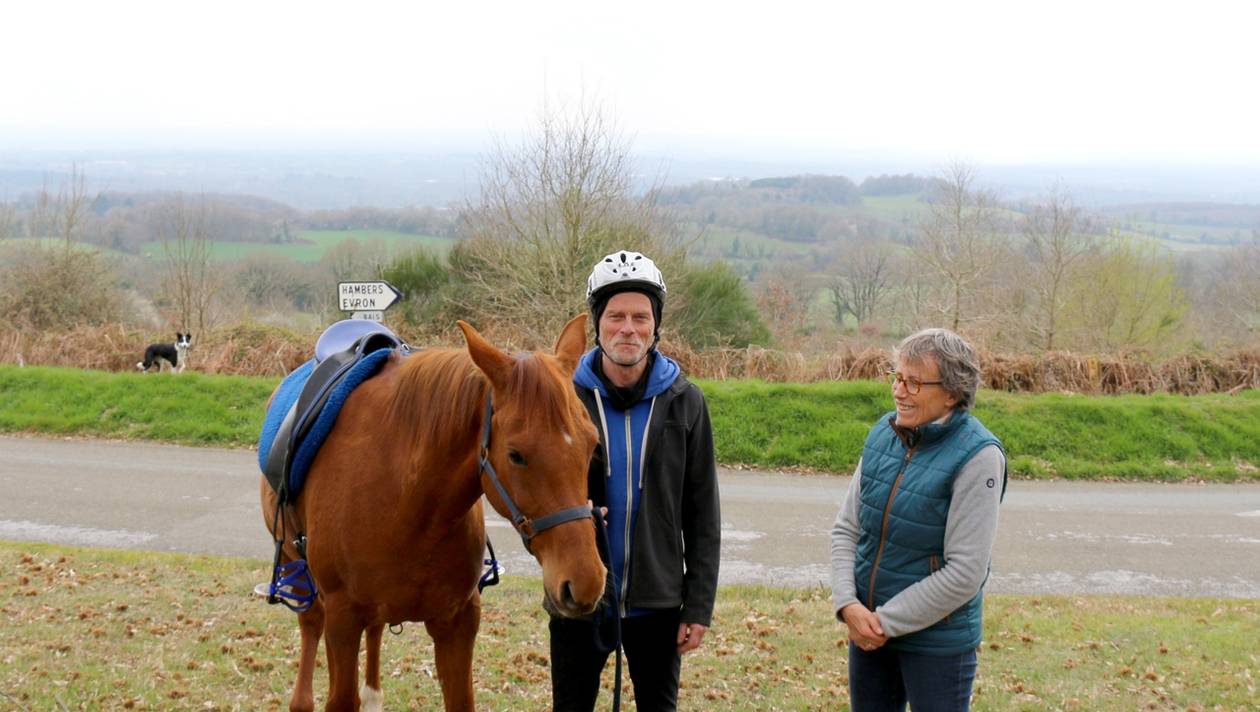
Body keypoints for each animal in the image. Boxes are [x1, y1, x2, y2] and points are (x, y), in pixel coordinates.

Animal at [260, 317, 604, 710]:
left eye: (592, 443)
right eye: (516, 455)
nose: (586, 581)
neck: (410, 504)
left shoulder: (457, 623)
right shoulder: (342, 620)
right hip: (300, 573)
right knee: (311, 625)